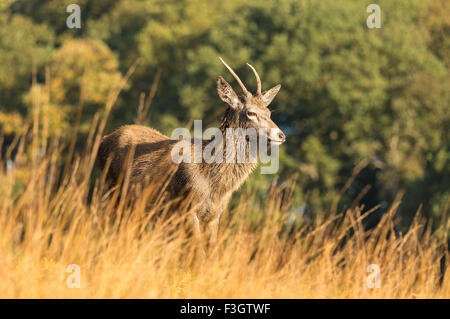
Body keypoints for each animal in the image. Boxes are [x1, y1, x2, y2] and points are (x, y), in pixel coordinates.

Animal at [96, 57, 286, 258]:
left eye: (269, 112)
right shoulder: (188, 208)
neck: (215, 184)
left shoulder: (214, 215)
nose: (281, 135)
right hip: (115, 191)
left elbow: (212, 255)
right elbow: (199, 256)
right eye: (251, 112)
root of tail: (104, 139)